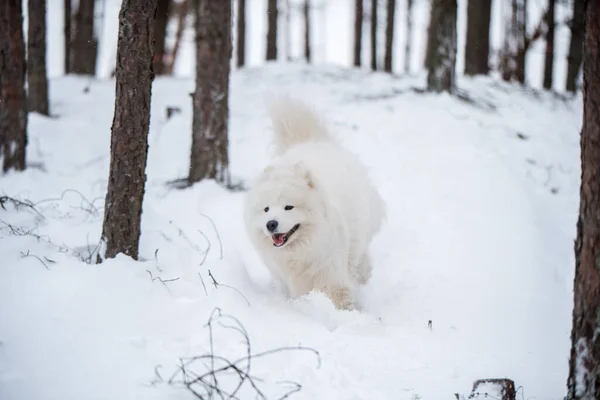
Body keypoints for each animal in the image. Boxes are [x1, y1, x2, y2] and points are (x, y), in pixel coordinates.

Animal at [243, 96, 384, 310]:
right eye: (266, 209)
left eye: (289, 207)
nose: (271, 224)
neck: (299, 254)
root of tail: (312, 142)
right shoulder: (287, 279)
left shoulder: (332, 277)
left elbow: (341, 299)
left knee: (361, 252)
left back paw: (363, 273)